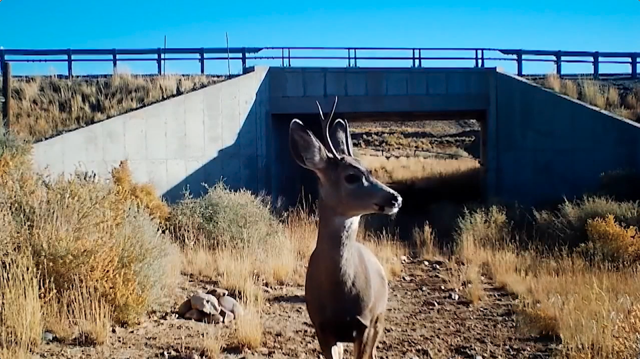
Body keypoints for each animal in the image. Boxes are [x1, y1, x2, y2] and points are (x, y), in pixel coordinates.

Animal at [288, 96, 402, 359]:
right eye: (351, 176)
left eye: (369, 169)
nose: (396, 199)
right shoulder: (321, 327)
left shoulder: (365, 324)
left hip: (380, 319)